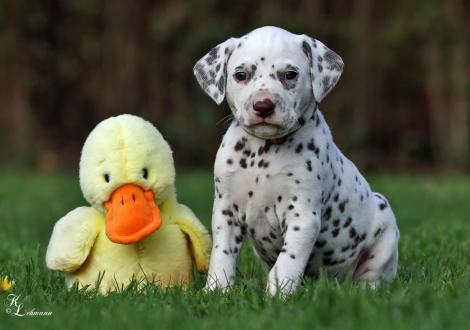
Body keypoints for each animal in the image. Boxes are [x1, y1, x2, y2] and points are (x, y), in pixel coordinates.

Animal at [193, 25, 398, 294]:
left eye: (290, 74)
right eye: (240, 75)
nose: (263, 105)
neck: (263, 153)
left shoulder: (302, 215)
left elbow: (287, 262)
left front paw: (279, 294)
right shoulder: (226, 211)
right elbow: (222, 254)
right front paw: (216, 289)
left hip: (385, 227)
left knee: (372, 277)